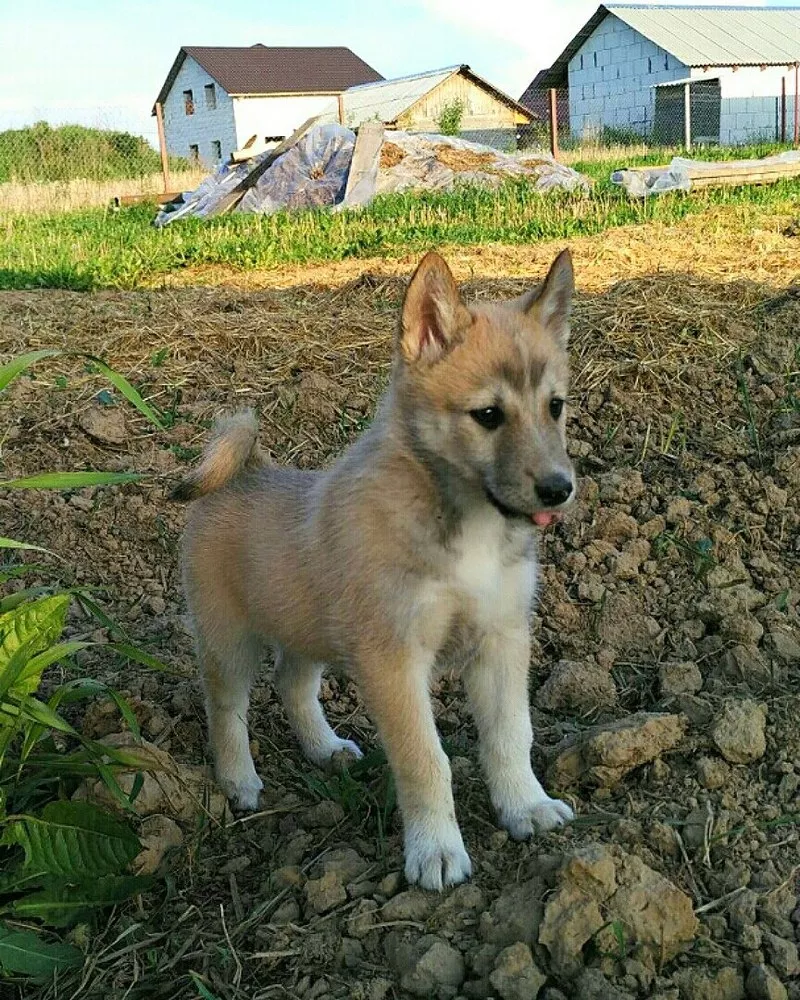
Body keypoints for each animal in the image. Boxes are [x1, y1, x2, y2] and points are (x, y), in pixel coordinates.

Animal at [173, 250, 576, 892]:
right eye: (488, 416)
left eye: (555, 406)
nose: (561, 490)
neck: (464, 525)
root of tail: (246, 469)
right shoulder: (394, 659)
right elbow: (425, 760)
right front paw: (436, 850)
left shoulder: (502, 639)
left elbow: (512, 736)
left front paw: (526, 807)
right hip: (229, 641)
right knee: (226, 708)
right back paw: (239, 781)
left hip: (307, 628)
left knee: (292, 685)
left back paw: (325, 748)